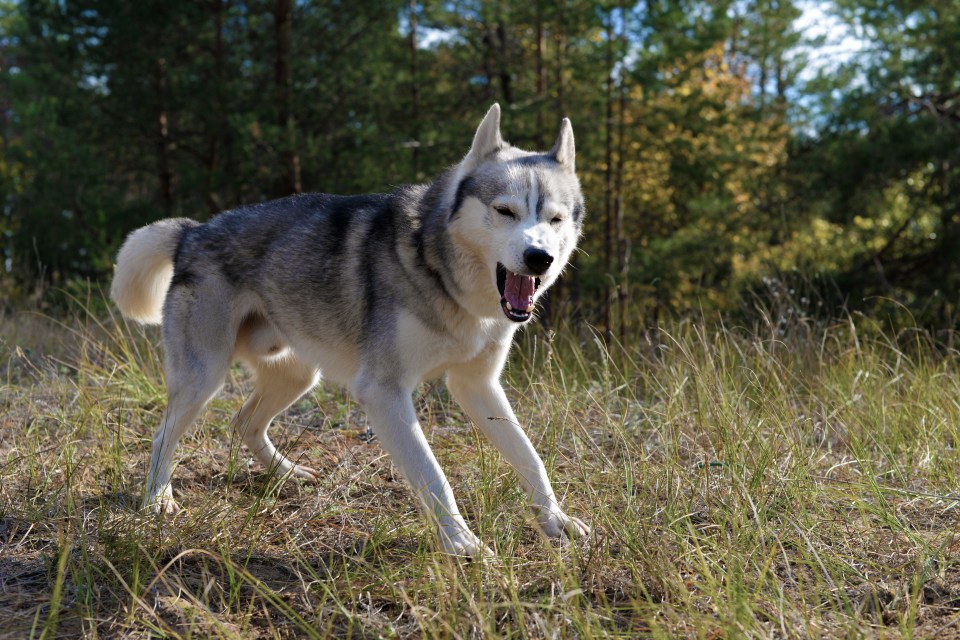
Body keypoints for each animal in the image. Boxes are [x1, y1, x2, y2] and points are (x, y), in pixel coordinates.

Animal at [114, 105, 592, 556]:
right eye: (505, 211)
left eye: (554, 219)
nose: (539, 258)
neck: (445, 278)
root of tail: (192, 232)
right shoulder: (383, 393)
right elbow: (434, 476)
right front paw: (462, 545)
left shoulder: (478, 385)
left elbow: (530, 458)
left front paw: (556, 521)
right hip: (205, 378)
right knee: (163, 436)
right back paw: (157, 499)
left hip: (298, 376)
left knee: (243, 421)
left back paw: (287, 473)